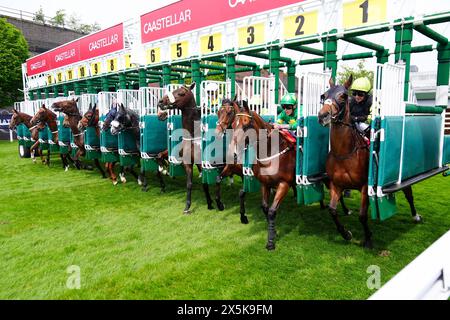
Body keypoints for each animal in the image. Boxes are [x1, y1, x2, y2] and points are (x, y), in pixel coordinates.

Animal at [158, 82, 214, 214]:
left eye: (181, 93)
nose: (161, 101)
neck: (193, 136)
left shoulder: (201, 163)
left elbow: (205, 183)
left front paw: (210, 202)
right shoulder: (187, 162)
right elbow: (189, 184)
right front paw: (187, 207)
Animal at [318, 75, 420, 250]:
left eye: (343, 96)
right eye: (324, 95)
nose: (323, 115)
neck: (344, 153)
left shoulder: (365, 186)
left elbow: (362, 216)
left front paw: (368, 239)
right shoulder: (336, 185)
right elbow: (332, 210)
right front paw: (346, 233)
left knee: (409, 195)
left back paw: (415, 216)